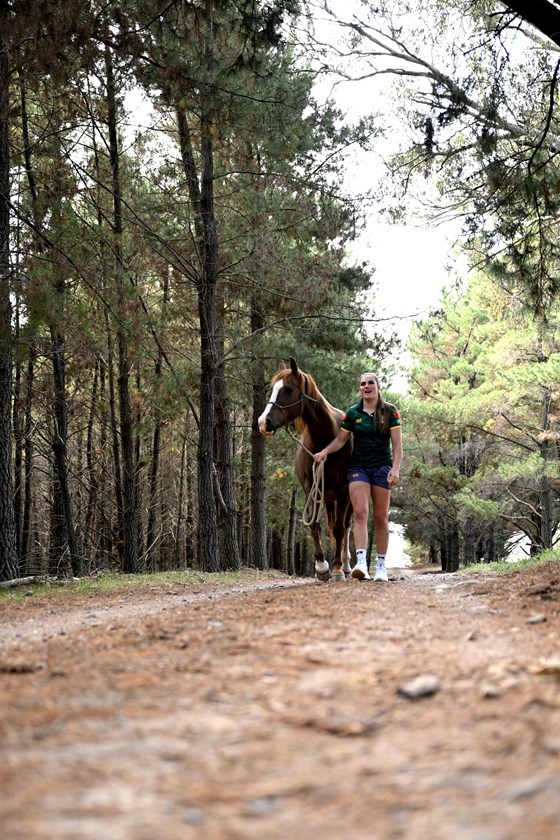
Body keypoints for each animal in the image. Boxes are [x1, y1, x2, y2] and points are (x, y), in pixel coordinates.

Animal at [258, 358, 352, 580]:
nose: (263, 423)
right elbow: (315, 524)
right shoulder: (311, 487)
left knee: (347, 527)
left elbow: (339, 529)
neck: (327, 439)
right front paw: (322, 566)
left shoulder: (344, 490)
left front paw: (336, 568)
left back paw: (345, 565)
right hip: (328, 497)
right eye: (271, 390)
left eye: (288, 390)